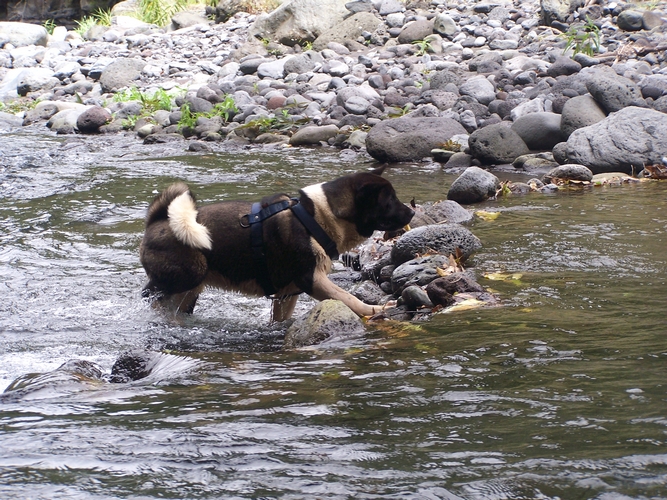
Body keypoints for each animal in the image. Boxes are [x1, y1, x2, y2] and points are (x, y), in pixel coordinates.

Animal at [139, 165, 414, 320]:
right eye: (390, 201)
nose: (412, 212)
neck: (318, 216)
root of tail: (157, 221)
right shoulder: (311, 280)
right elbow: (347, 298)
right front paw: (375, 311)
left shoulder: (287, 294)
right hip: (189, 274)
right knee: (151, 296)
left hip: (189, 292)